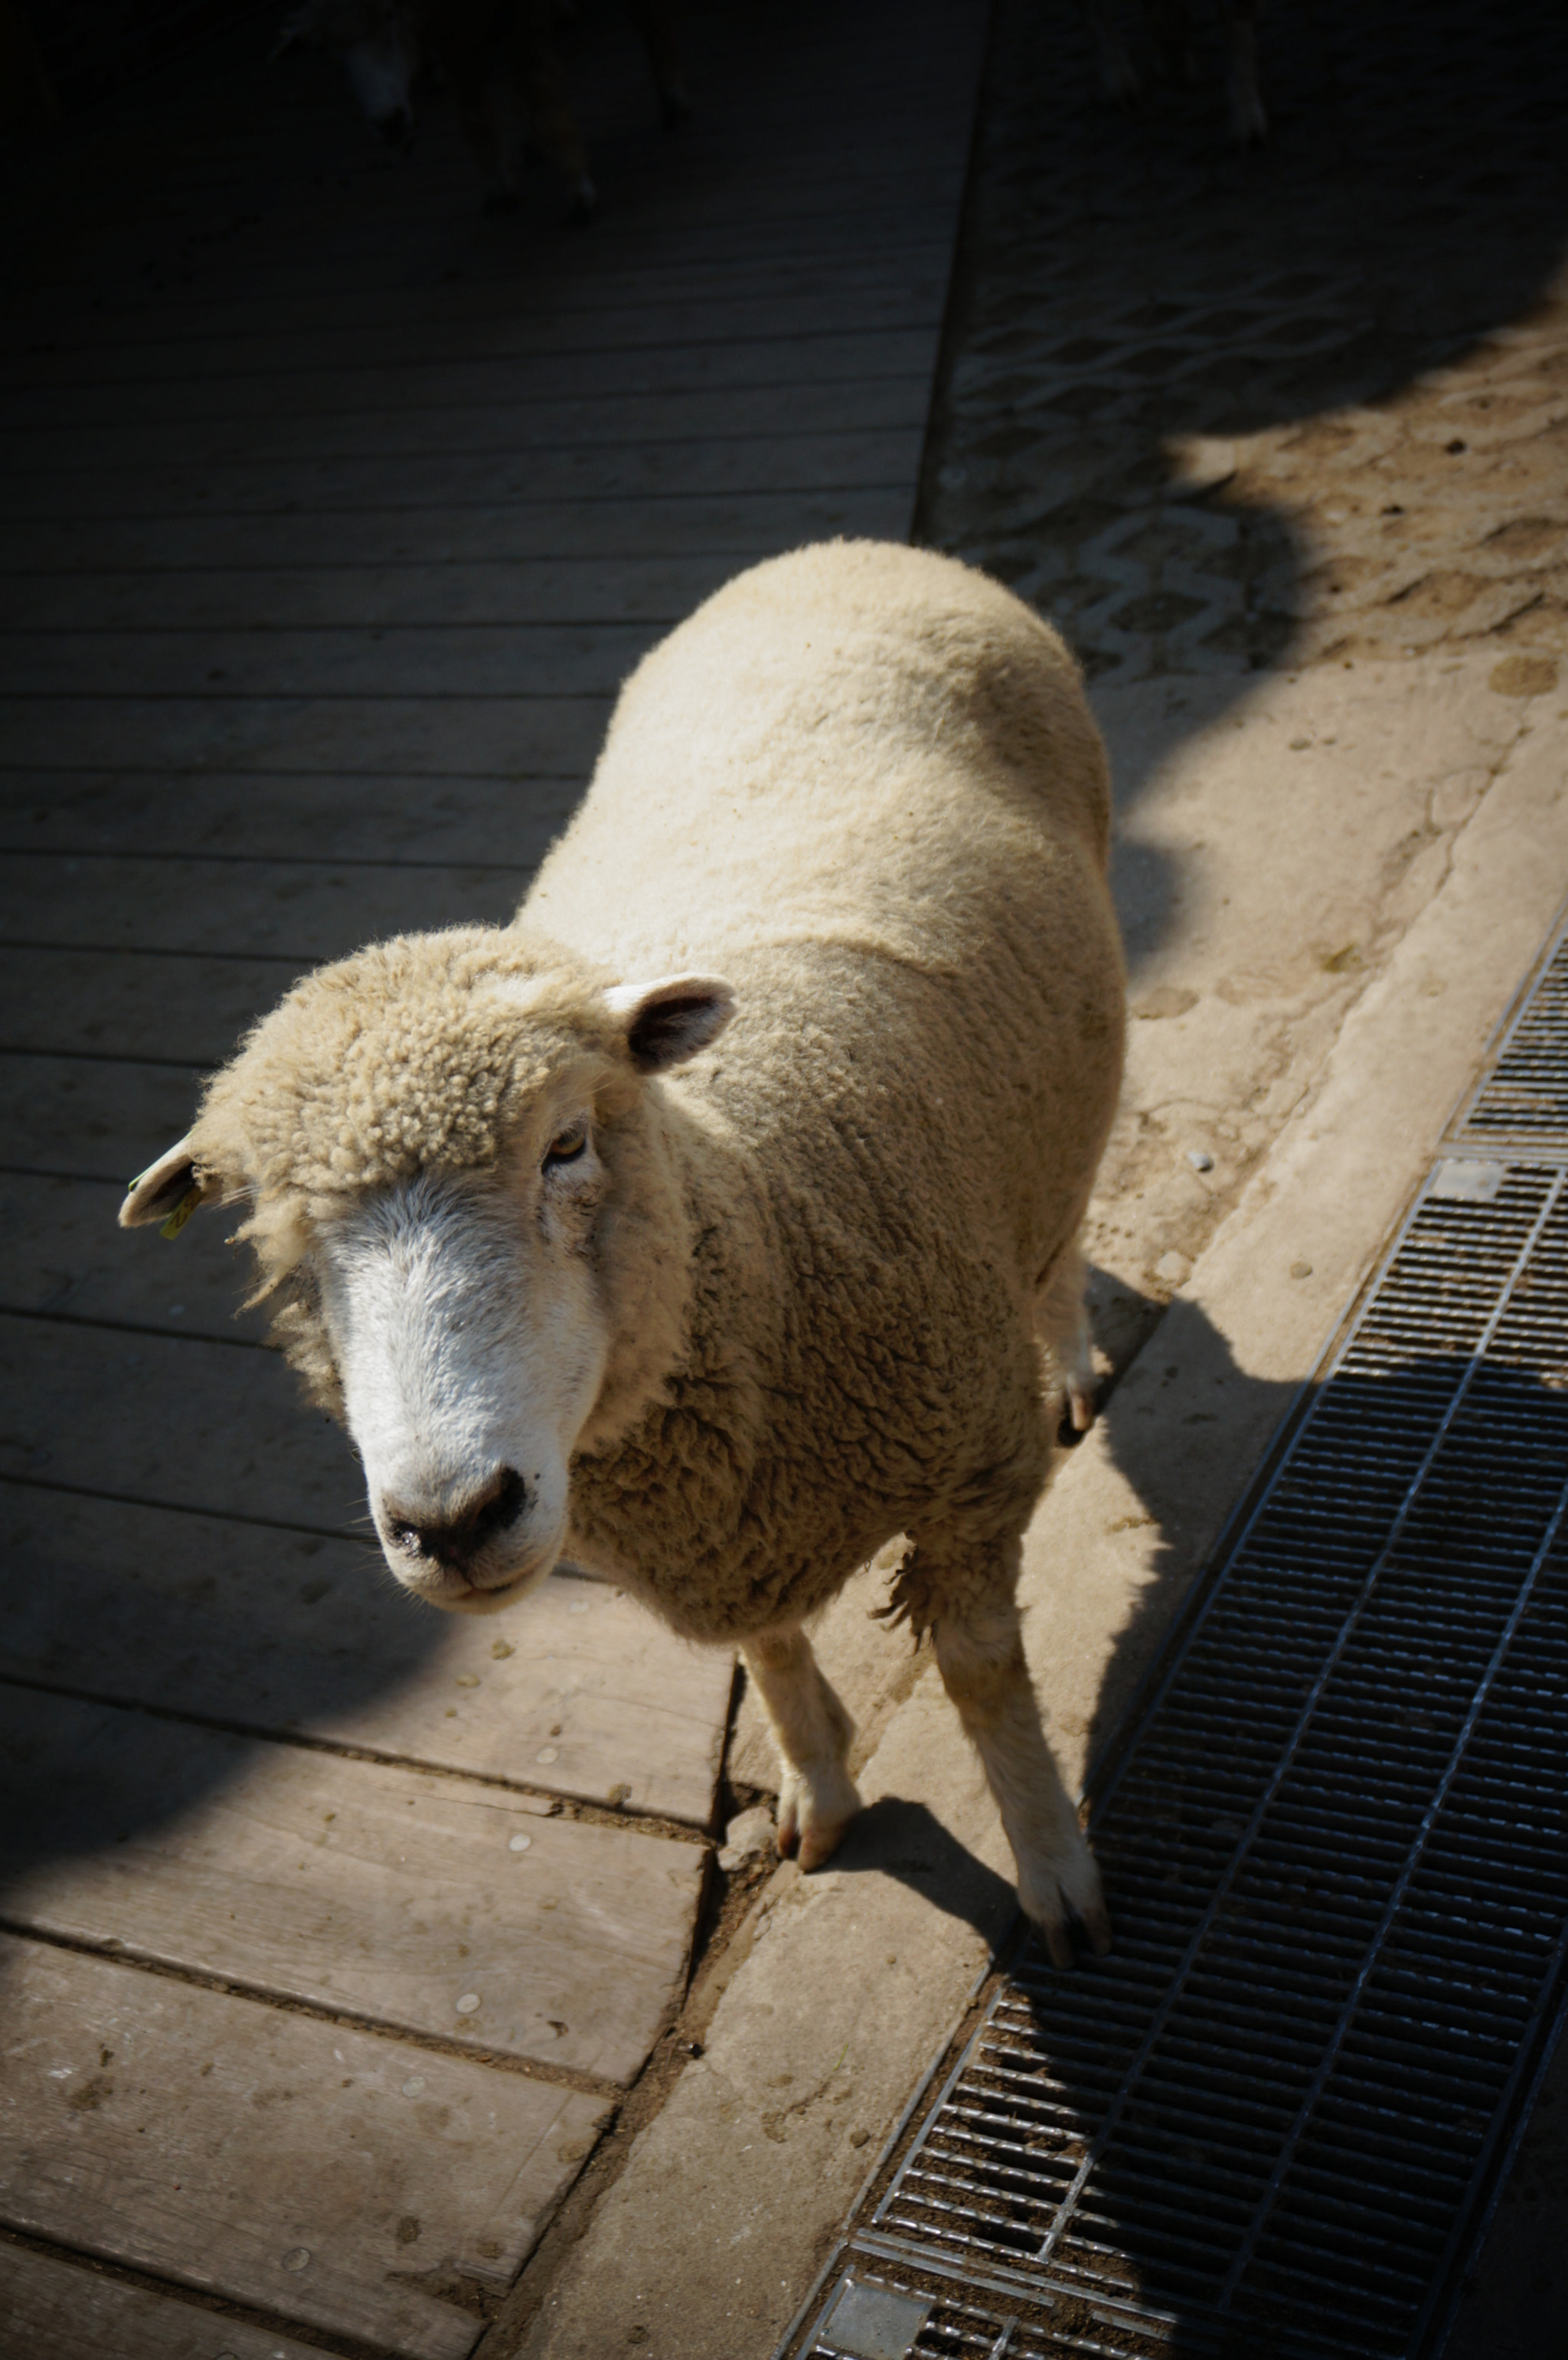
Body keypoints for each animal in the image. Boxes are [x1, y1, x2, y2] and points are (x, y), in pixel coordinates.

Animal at [120, 541, 1126, 1966]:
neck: (755, 1212)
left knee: (1062, 1231)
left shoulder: (971, 1473)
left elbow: (984, 1679)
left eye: (567, 1146)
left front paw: (1051, 1870)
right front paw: (817, 1789)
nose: (453, 1519)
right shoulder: (736, 1531)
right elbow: (768, 1651)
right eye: (278, 1239)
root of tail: (843, 553)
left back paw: (1076, 1357)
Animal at [276, 0, 689, 216]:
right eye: (323, 46)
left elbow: (536, 83)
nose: (389, 122)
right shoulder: (453, 26)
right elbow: (473, 108)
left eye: (389, 14)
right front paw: (497, 186)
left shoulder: (519, 9)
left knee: (649, 16)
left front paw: (578, 188)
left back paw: (673, 97)